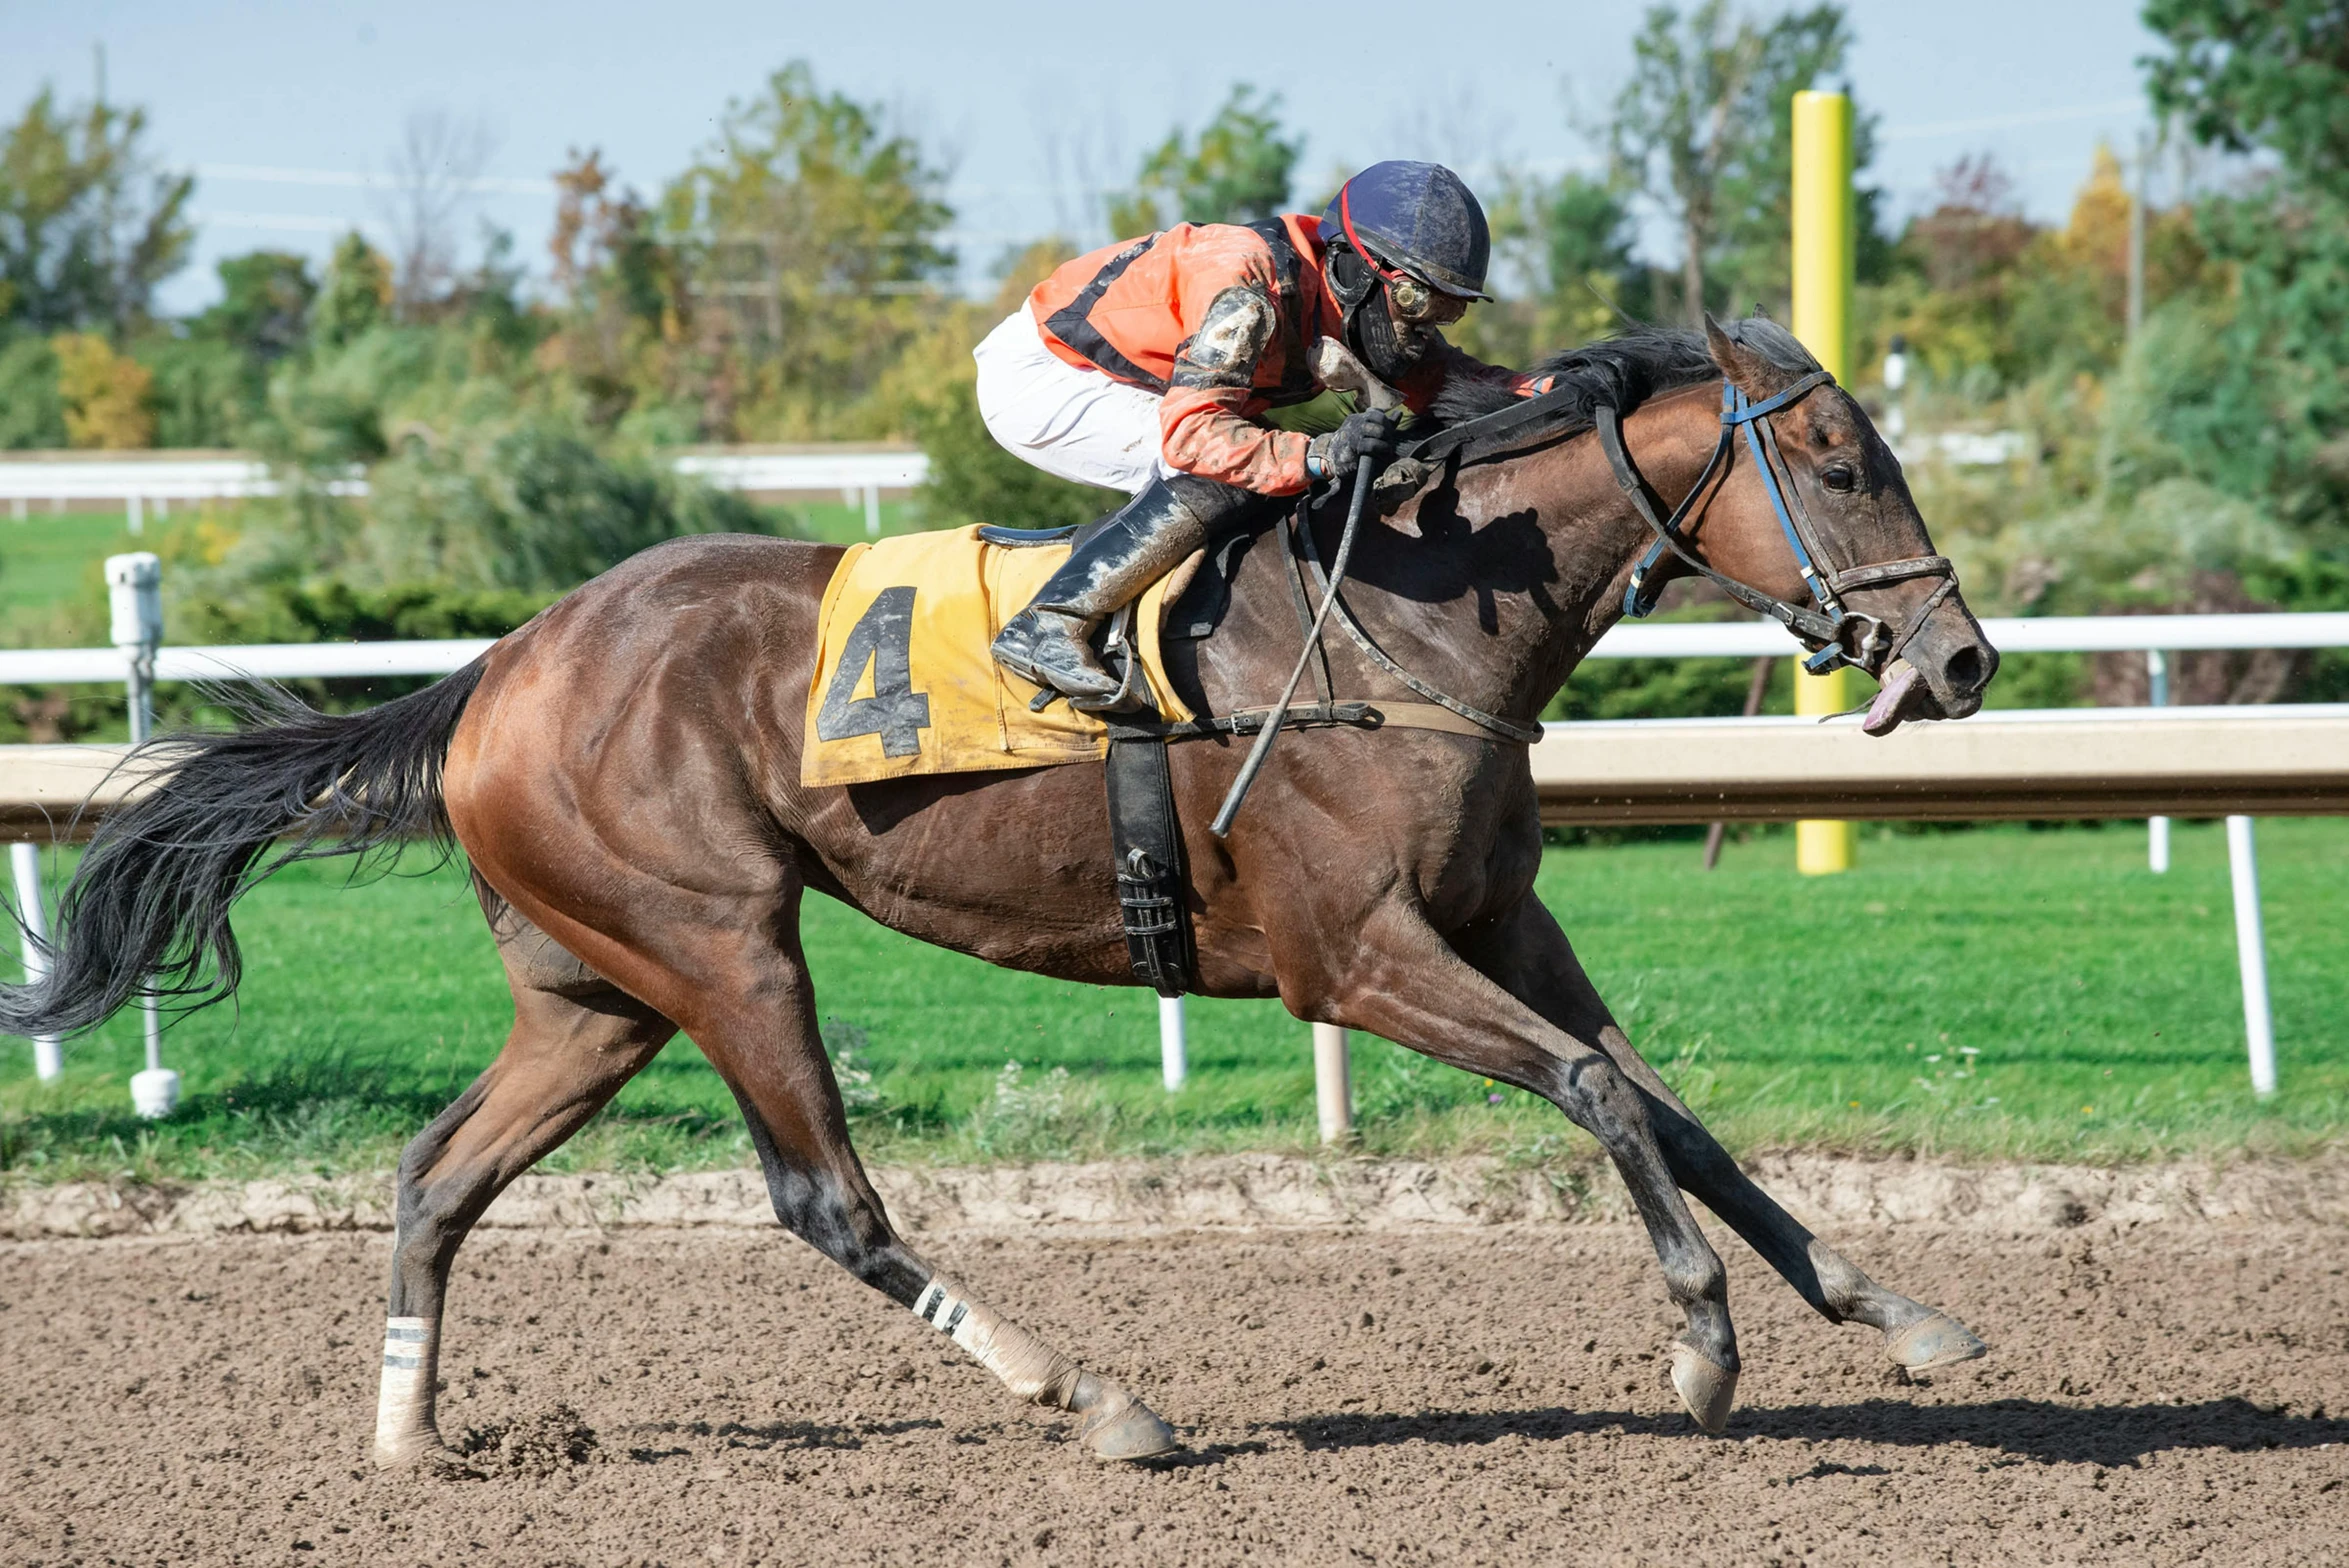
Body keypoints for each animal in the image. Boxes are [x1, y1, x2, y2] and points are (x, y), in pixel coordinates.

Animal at [4, 319, 2001, 1474]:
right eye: (1839, 460)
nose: (1960, 659)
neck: (1415, 615)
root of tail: (500, 664)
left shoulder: (1503, 924)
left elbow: (1673, 1111)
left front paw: (1893, 1310)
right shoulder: (1347, 957)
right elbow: (1598, 1093)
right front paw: (1701, 1347)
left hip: (596, 990)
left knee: (436, 1173)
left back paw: (412, 1440)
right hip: (720, 941)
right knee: (824, 1197)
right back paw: (1093, 1398)